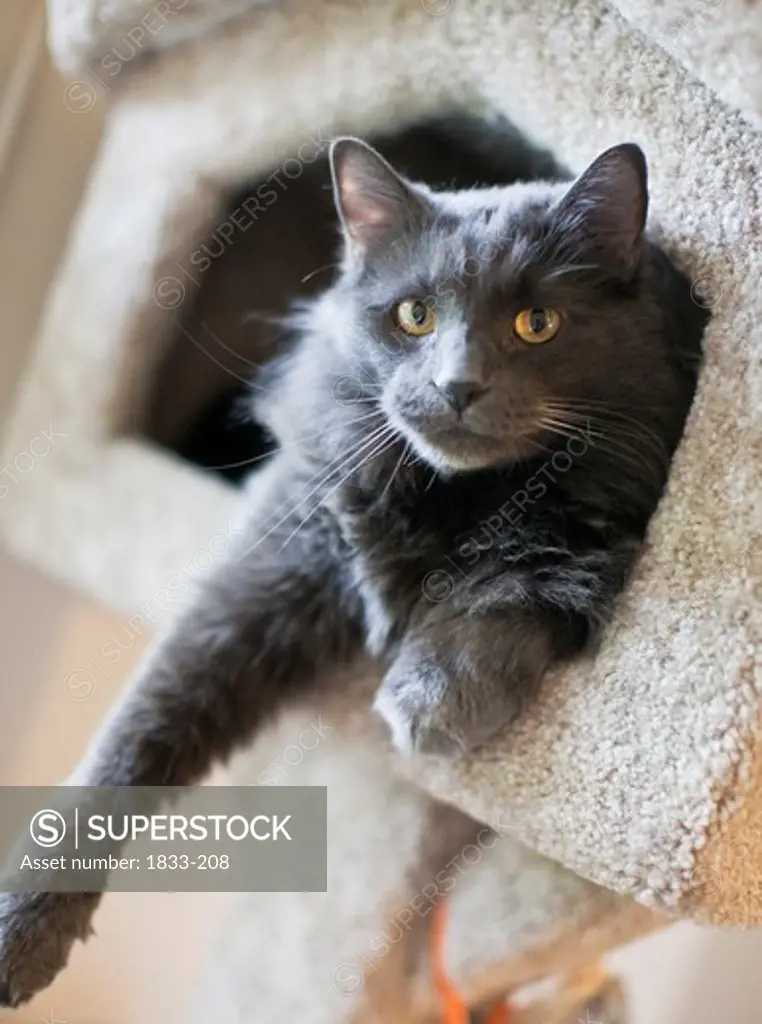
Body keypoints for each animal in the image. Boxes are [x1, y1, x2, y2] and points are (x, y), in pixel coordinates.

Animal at [0, 132, 708, 1003]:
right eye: (415, 315)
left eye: (537, 322)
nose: (456, 384)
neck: (450, 495)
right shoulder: (267, 572)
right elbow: (129, 743)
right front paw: (23, 934)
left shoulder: (590, 530)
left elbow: (509, 587)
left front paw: (431, 700)